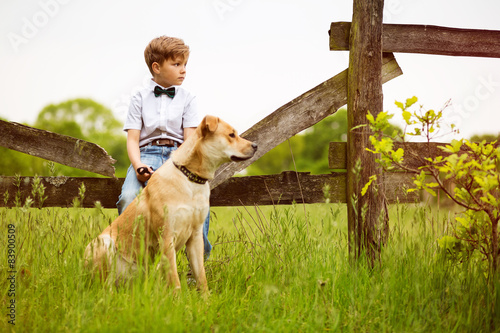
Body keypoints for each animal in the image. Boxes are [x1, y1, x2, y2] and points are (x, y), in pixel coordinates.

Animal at [84, 115, 256, 292]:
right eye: (231, 135)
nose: (255, 146)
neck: (190, 178)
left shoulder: (195, 237)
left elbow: (201, 277)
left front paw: (205, 298)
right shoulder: (167, 237)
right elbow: (175, 280)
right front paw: (178, 298)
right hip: (104, 244)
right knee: (103, 287)